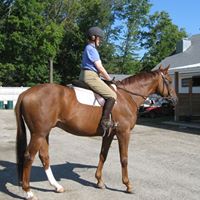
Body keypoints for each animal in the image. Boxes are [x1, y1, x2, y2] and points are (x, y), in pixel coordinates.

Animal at [15, 65, 177, 199]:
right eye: (169, 80)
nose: (175, 100)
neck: (126, 97)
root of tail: (26, 93)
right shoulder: (123, 133)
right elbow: (124, 159)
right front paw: (128, 185)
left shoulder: (109, 134)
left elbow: (103, 155)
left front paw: (99, 181)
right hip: (38, 134)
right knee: (29, 156)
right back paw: (28, 192)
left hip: (44, 133)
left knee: (44, 156)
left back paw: (56, 186)